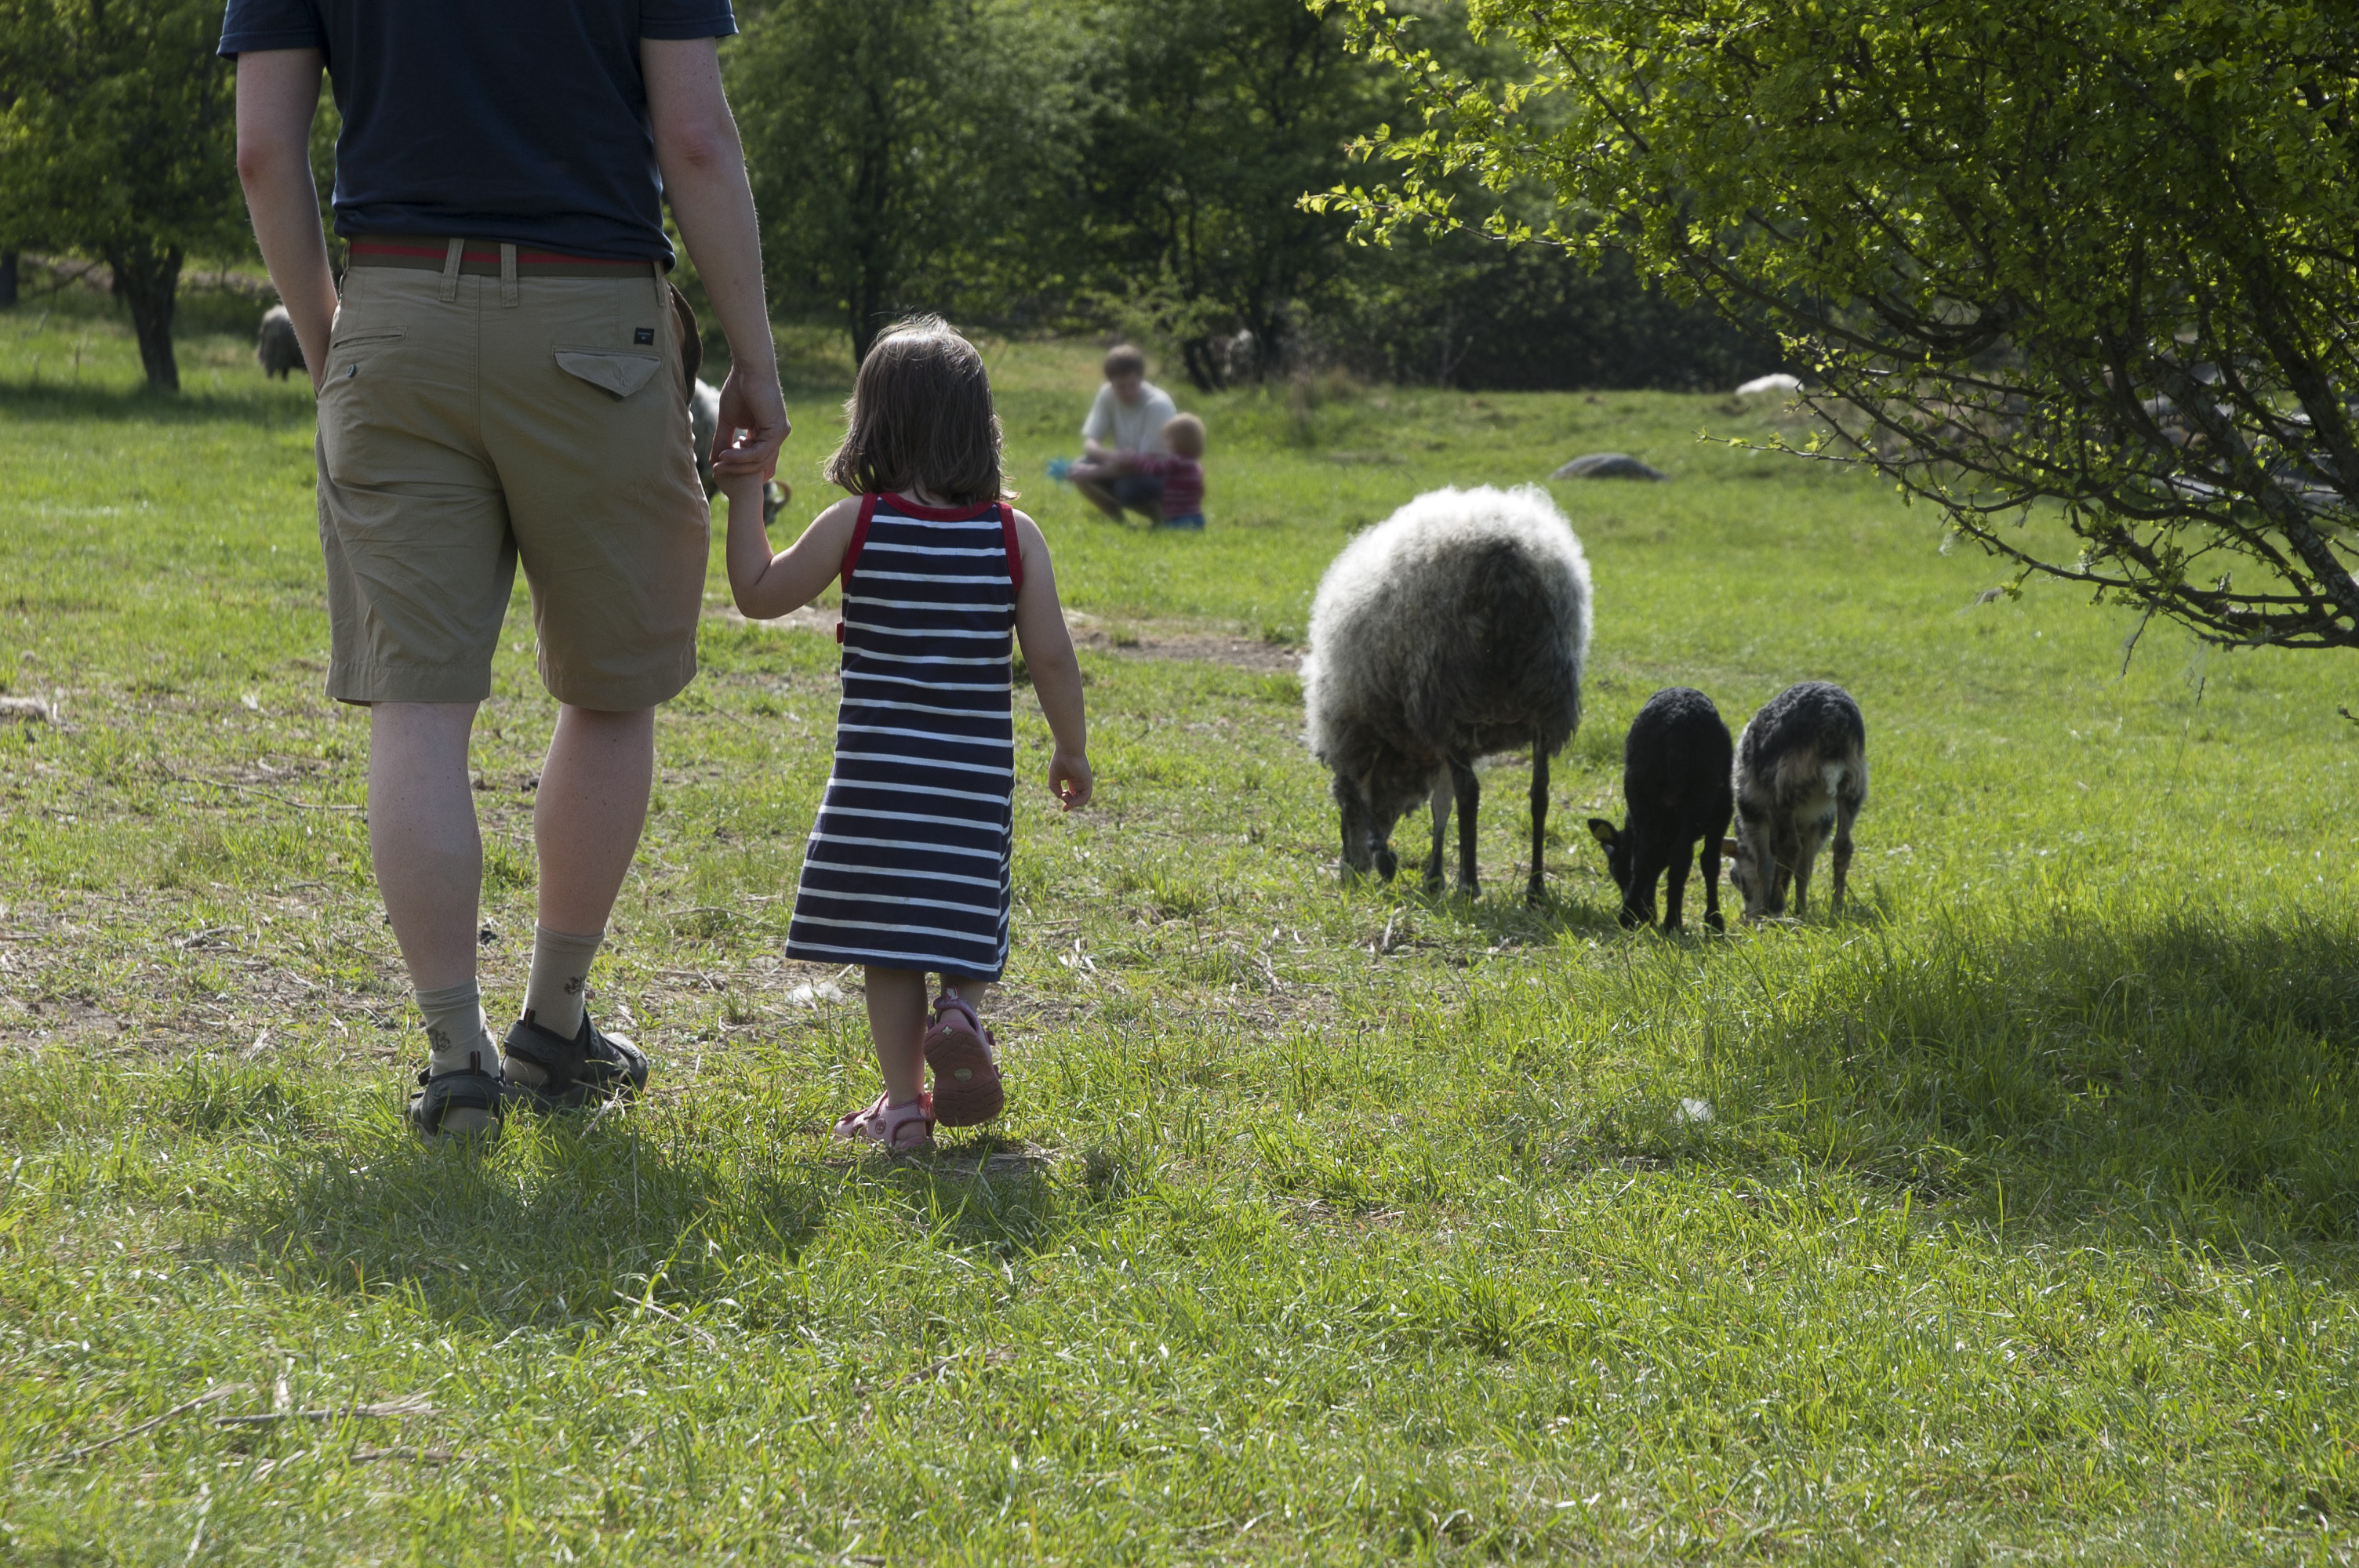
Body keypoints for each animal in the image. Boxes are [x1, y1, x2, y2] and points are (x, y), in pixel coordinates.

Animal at [1302, 485, 1594, 905]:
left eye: (1344, 808)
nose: (1349, 874)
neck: (1401, 751)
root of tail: (1508, 556)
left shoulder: (1399, 727)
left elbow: (1446, 799)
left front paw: (1420, 871)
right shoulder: (1441, 746)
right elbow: (1441, 805)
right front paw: (1434, 877)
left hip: (1445, 695)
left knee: (1471, 791)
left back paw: (1470, 885)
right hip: (1547, 698)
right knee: (1540, 792)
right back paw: (1535, 887)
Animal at [1585, 684, 1736, 928]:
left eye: (1617, 870)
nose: (1645, 915)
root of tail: (1678, 718)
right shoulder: (1723, 812)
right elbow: (1710, 862)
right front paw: (1714, 923)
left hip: (1641, 791)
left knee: (1646, 854)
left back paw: (1634, 918)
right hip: (1697, 795)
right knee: (1676, 857)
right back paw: (1667, 922)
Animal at [1726, 684, 1868, 919]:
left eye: (1735, 878)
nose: (1749, 915)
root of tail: (1833, 716)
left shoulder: (1754, 813)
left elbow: (1764, 865)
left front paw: (1769, 909)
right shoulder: (1820, 822)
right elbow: (1804, 870)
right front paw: (1801, 909)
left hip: (1784, 787)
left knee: (1790, 848)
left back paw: (1775, 906)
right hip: (1853, 785)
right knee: (1842, 846)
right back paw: (1836, 907)